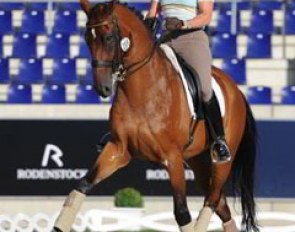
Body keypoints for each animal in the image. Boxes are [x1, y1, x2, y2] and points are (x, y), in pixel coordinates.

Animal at [52, 0, 260, 231]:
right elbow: (81, 187)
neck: (143, 91)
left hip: (222, 162)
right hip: (197, 160)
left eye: (108, 38)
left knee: (212, 199)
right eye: (87, 39)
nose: (102, 88)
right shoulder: (118, 149)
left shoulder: (172, 158)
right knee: (221, 204)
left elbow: (182, 213)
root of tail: (236, 90)